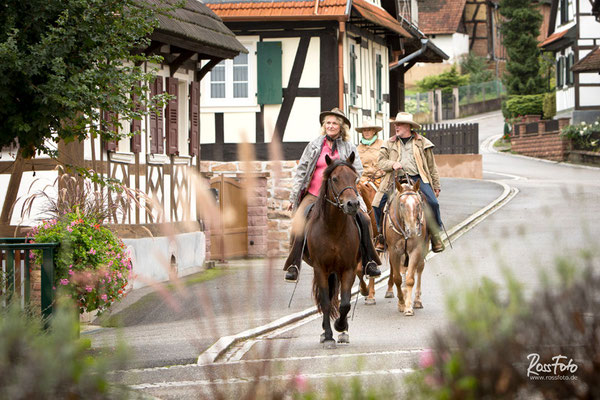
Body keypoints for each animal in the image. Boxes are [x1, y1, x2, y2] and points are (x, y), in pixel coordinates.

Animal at [304, 152, 360, 346]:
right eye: (335, 179)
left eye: (355, 178)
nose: (353, 204)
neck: (333, 228)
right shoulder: (320, 268)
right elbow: (326, 301)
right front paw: (328, 335)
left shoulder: (349, 269)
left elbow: (345, 303)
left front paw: (341, 326)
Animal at [382, 175, 428, 316]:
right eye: (401, 204)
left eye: (418, 204)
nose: (412, 230)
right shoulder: (394, 251)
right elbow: (397, 278)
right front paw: (401, 303)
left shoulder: (415, 250)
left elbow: (410, 279)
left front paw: (408, 307)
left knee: (419, 269)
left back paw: (417, 301)